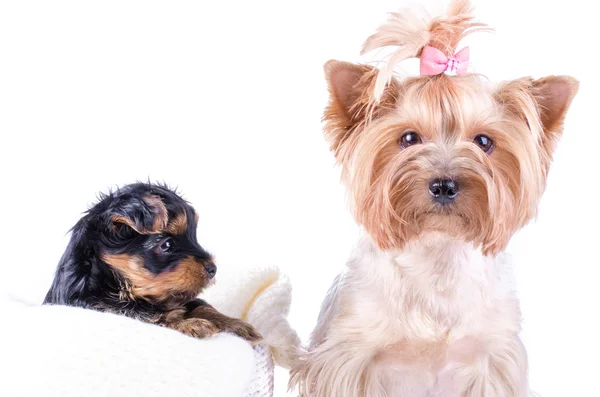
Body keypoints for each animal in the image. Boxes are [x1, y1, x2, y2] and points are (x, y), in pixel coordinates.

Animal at [44, 181, 260, 342]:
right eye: (167, 244)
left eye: (194, 237)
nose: (212, 268)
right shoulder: (100, 305)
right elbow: (151, 316)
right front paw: (191, 323)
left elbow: (201, 305)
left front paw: (236, 324)